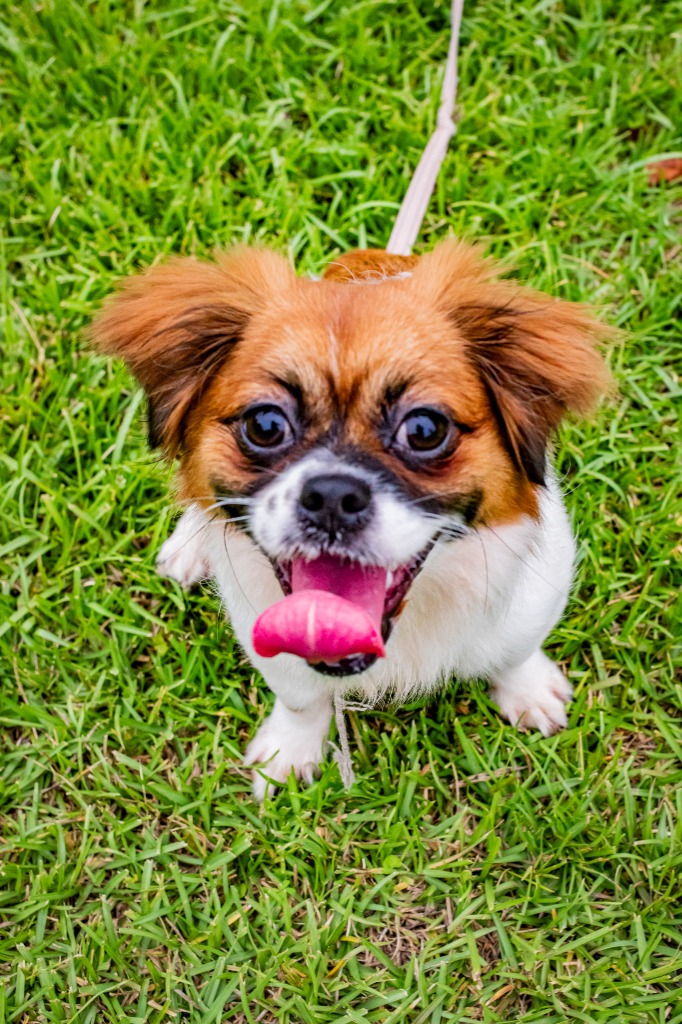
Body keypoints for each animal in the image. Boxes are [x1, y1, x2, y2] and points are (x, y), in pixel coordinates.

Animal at [92, 240, 612, 797]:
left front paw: (529, 692)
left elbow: (515, 651)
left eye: (424, 429)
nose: (332, 496)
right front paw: (289, 750)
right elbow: (301, 699)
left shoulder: (533, 598)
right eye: (265, 424)